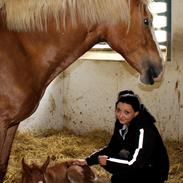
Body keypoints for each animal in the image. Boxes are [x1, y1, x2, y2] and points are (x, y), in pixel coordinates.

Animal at [0, 0, 163, 182]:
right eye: (146, 21)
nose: (160, 68)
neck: (20, 54)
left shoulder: (12, 124)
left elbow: (3, 167)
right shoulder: (2, 123)